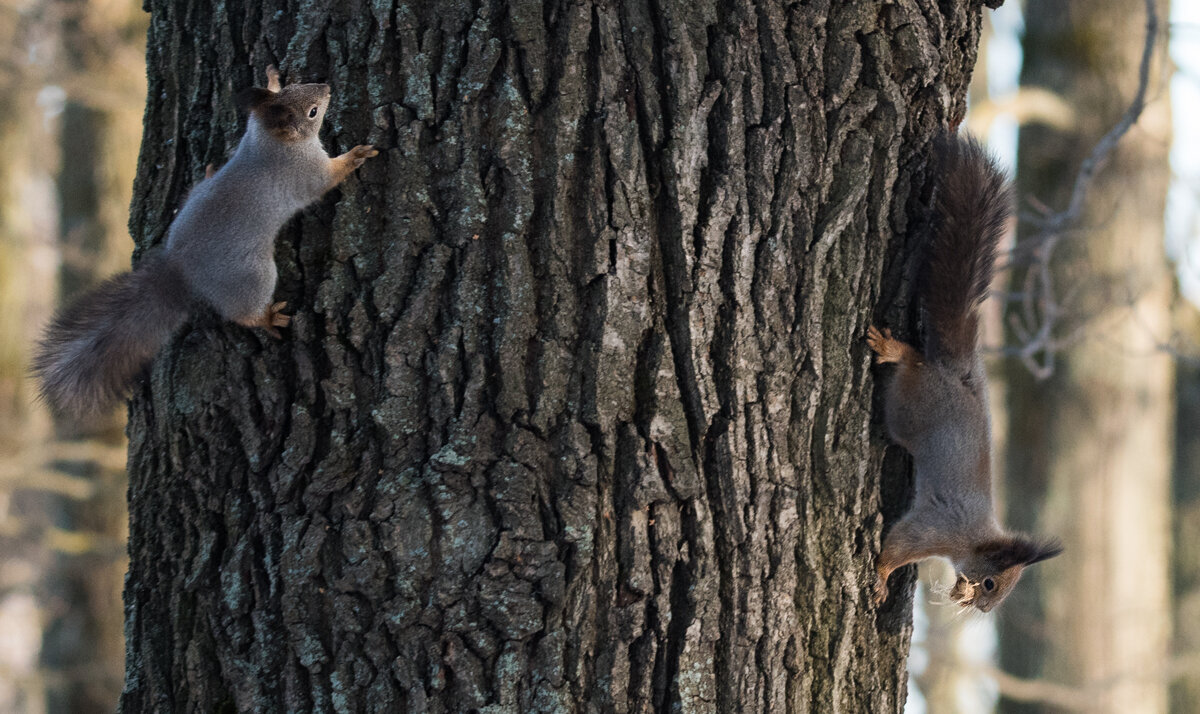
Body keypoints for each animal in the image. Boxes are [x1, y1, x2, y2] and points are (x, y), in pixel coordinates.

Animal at [36, 65, 374, 420]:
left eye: (297, 87)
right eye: (312, 112)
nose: (326, 87)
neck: (267, 142)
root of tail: (181, 269)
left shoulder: (251, 127)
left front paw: (270, 79)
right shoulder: (305, 173)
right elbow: (328, 178)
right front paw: (356, 156)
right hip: (252, 275)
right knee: (243, 314)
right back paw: (267, 318)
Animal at [868, 135, 1065, 614]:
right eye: (992, 583)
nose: (976, 606)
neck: (974, 540)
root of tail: (954, 372)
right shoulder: (936, 527)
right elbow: (898, 545)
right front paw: (882, 575)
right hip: (910, 408)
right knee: (912, 363)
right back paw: (894, 350)